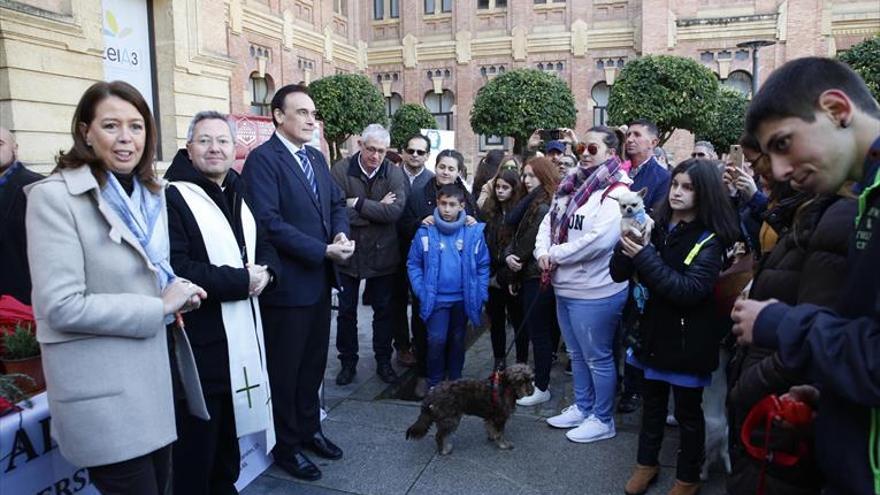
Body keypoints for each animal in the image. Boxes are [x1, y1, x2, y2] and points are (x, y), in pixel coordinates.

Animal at [406, 366, 536, 456]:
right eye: (520, 381)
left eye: (531, 379)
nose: (531, 392)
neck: (506, 386)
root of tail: (432, 393)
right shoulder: (500, 418)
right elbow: (500, 433)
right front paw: (503, 444)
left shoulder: (491, 417)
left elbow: (491, 428)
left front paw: (492, 437)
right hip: (451, 419)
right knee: (439, 436)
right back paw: (444, 450)